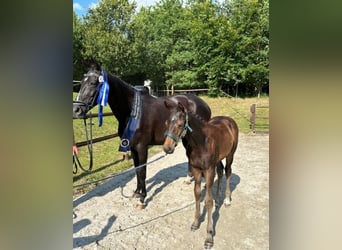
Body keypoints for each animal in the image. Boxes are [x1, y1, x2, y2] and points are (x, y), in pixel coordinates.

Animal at [73, 61, 210, 208]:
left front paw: (142, 199)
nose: (76, 110)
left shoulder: (142, 147)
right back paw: (189, 178)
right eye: (81, 82)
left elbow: (143, 171)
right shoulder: (132, 147)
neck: (132, 111)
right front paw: (137, 193)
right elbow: (137, 170)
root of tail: (203, 103)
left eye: (93, 82)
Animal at [162, 101, 238, 248]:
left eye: (180, 124)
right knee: (220, 171)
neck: (201, 142)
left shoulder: (208, 171)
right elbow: (197, 194)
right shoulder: (196, 170)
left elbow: (208, 202)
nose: (167, 148)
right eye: (166, 123)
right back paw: (218, 198)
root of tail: (228, 119)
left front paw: (209, 237)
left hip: (230, 155)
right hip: (218, 159)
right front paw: (195, 223)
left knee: (227, 172)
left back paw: (227, 199)